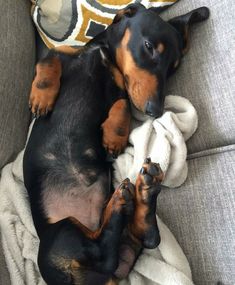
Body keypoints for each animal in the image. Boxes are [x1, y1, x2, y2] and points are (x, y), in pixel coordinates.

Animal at [23, 2, 209, 284]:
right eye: (148, 46)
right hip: (61, 233)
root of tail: (105, 278)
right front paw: (42, 97)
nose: (156, 110)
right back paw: (133, 195)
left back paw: (136, 194)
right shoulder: (63, 55)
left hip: (75, 234)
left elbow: (122, 105)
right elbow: (49, 59)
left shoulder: (120, 90)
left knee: (133, 242)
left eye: (173, 68)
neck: (103, 56)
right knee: (118, 247)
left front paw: (114, 137)